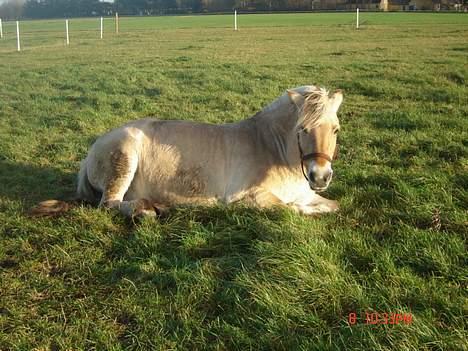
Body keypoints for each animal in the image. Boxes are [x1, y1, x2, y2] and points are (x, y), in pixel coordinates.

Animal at [33, 85, 342, 217]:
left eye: (336, 130)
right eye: (302, 129)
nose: (320, 176)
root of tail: (92, 151)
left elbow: (332, 206)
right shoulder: (249, 197)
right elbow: (288, 209)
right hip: (124, 158)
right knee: (109, 204)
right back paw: (145, 211)